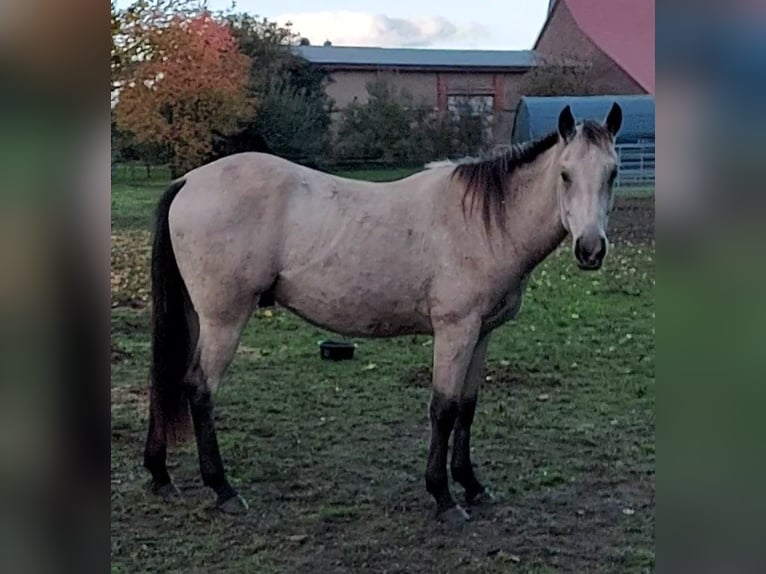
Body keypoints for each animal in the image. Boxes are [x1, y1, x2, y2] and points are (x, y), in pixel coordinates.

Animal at [144, 103, 623, 524]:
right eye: (565, 174)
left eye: (613, 173)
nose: (590, 250)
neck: (484, 222)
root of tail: (188, 180)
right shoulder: (456, 331)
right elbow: (444, 409)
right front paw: (444, 498)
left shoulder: (482, 333)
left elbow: (467, 408)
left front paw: (472, 485)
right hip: (223, 320)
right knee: (199, 388)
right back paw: (223, 489)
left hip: (196, 316)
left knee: (168, 381)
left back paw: (160, 475)